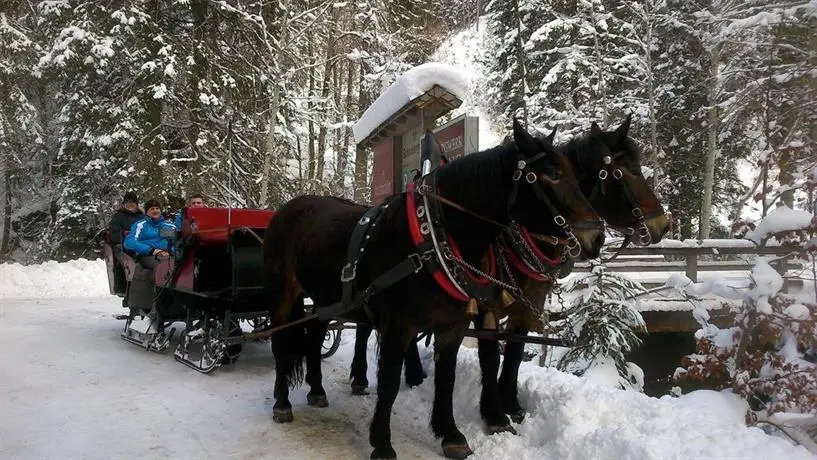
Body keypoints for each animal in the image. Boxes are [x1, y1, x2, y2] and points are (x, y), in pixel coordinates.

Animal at [262, 120, 604, 458]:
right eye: (551, 175)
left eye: (573, 173)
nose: (597, 237)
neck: (434, 239)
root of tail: (287, 209)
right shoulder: (399, 325)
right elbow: (389, 382)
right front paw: (382, 443)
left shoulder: (453, 326)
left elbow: (447, 379)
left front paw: (450, 434)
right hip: (283, 296)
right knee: (281, 344)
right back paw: (282, 402)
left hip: (324, 300)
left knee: (314, 338)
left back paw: (317, 390)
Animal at [348, 115, 668, 434]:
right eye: (627, 171)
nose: (663, 225)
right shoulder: (487, 306)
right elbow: (490, 356)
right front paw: (494, 413)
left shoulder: (528, 305)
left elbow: (514, 352)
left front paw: (511, 404)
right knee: (366, 324)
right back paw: (362, 377)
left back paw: (414, 374)